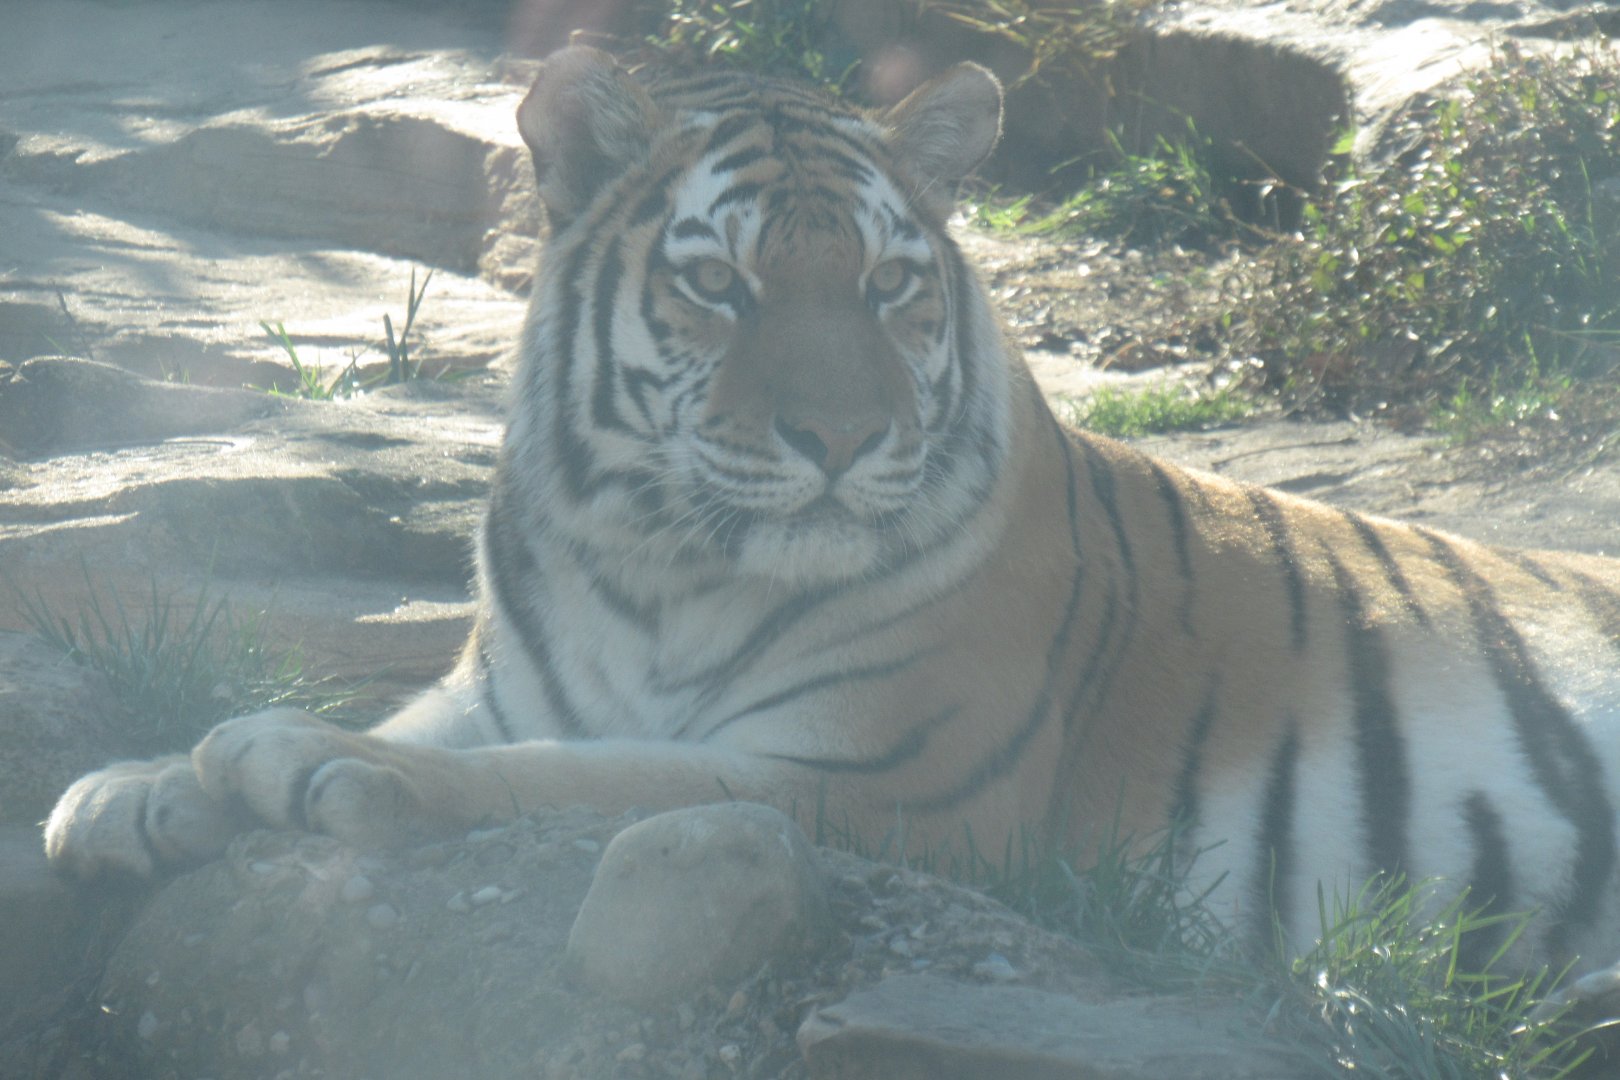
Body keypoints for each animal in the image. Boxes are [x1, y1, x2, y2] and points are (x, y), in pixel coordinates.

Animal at [43, 45, 1620, 980]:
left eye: (888, 284)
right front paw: (131, 789)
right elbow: (455, 730)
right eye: (719, 284)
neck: (650, 563)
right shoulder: (494, 688)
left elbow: (584, 777)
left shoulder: (874, 779)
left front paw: (296, 759)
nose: (844, 441)